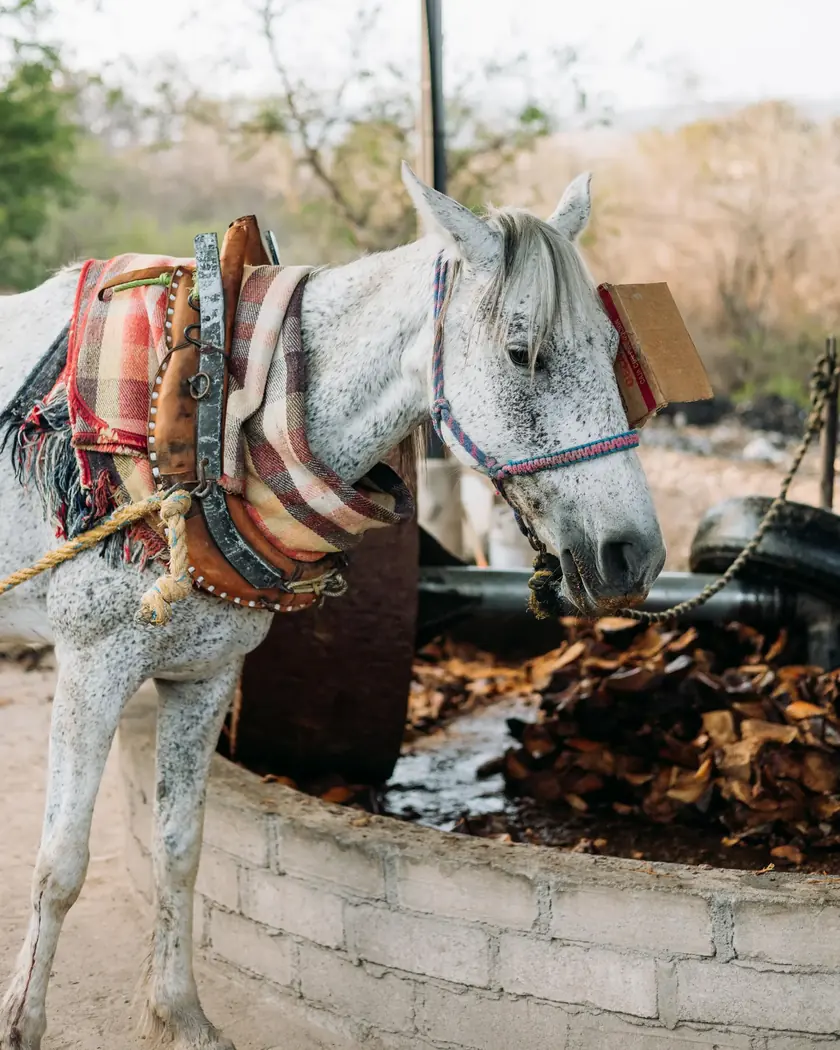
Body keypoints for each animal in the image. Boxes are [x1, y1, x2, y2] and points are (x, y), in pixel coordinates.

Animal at [0, 163, 665, 1050]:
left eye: (613, 350)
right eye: (523, 354)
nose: (636, 555)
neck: (210, 414)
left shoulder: (204, 675)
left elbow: (182, 849)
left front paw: (180, 1016)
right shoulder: (91, 666)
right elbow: (59, 865)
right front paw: (24, 1025)